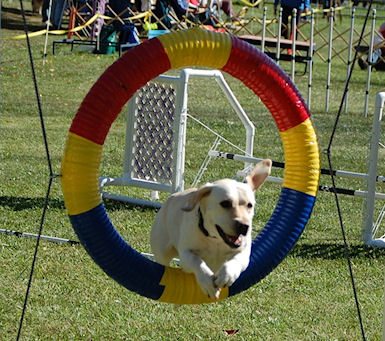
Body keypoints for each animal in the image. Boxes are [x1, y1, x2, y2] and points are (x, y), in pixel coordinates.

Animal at [148, 159, 272, 298]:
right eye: (225, 203)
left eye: (250, 205)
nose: (244, 226)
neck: (215, 240)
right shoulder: (186, 253)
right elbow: (197, 261)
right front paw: (208, 284)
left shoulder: (243, 251)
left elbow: (236, 260)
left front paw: (227, 275)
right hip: (162, 250)